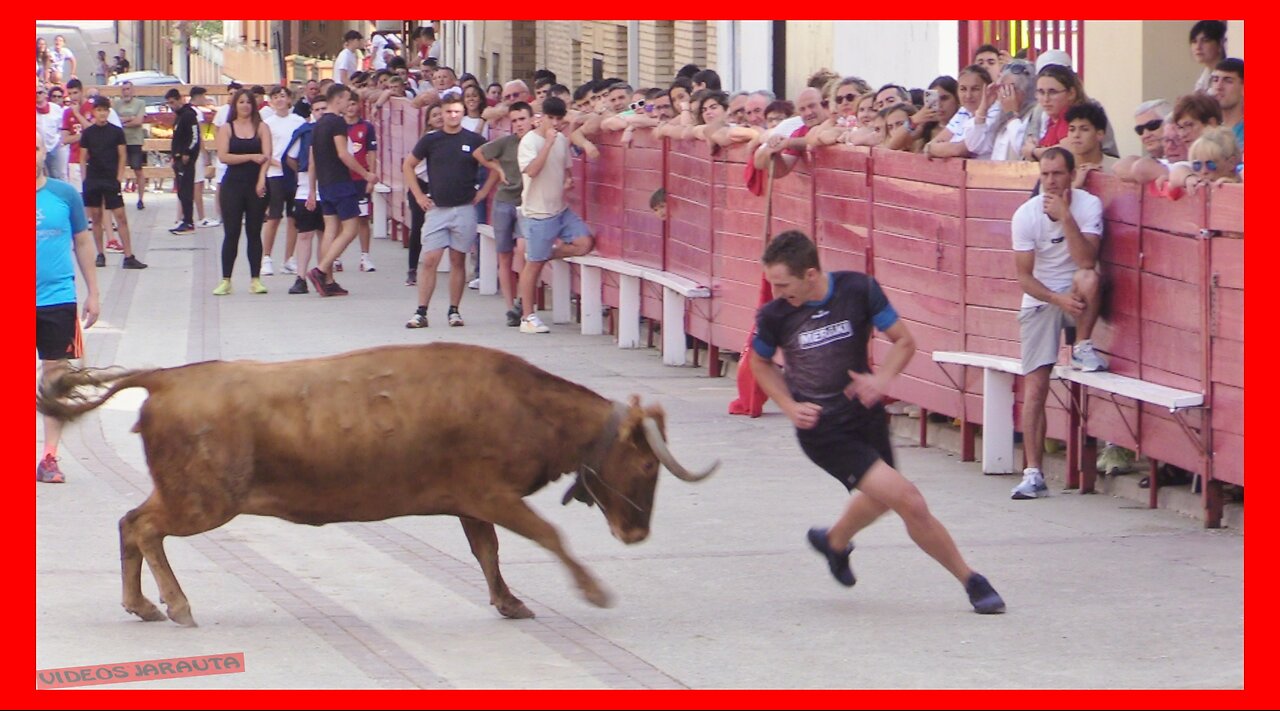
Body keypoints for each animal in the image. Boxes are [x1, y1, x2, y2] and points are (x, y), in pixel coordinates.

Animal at [37, 345, 721, 627]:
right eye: (649, 466)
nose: (636, 533)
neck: (522, 402)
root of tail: (166, 378)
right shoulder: (491, 495)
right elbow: (547, 535)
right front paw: (593, 591)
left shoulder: (471, 503)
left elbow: (488, 552)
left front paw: (509, 602)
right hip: (203, 501)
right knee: (145, 528)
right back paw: (176, 605)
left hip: (188, 496)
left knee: (131, 524)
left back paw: (145, 605)